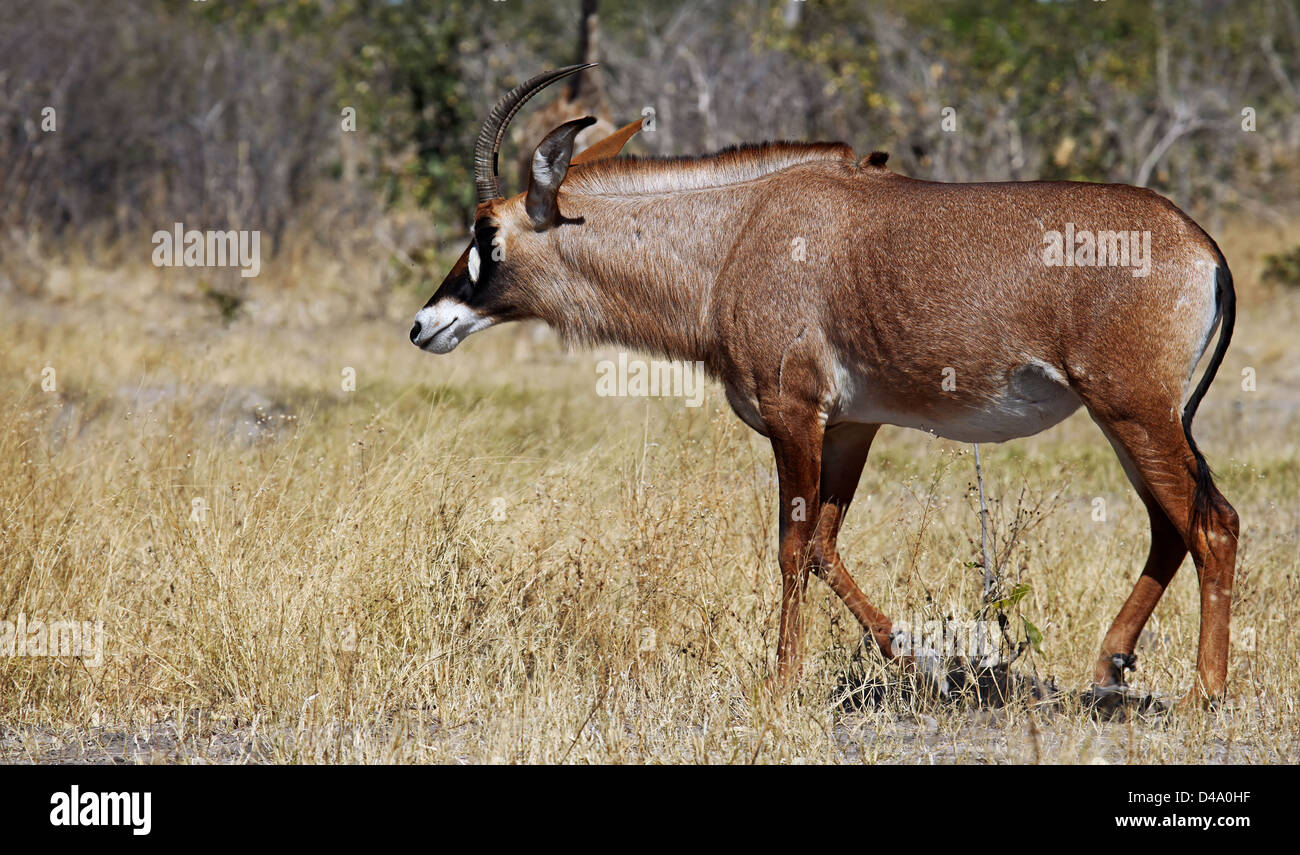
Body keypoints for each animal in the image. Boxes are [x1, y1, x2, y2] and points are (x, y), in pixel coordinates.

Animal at [413, 66, 1237, 701]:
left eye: (487, 231)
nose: (426, 324)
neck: (735, 235)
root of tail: (1201, 246)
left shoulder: (793, 415)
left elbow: (791, 546)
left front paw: (781, 681)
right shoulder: (848, 425)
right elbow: (823, 548)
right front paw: (925, 663)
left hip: (1135, 411)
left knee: (1212, 523)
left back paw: (1206, 691)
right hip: (1126, 419)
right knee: (1172, 524)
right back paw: (1111, 666)